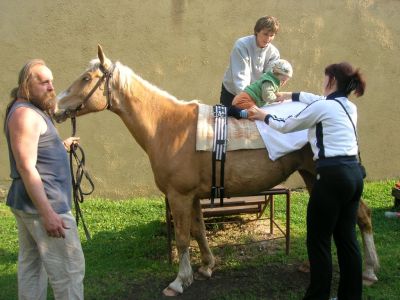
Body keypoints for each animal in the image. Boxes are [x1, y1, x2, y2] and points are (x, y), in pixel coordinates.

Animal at [54, 45, 380, 296]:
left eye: (86, 78)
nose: (56, 107)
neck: (168, 126)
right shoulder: (193, 197)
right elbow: (198, 231)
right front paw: (207, 266)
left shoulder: (179, 196)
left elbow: (183, 238)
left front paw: (179, 281)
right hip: (313, 178)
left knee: (363, 215)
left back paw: (370, 270)